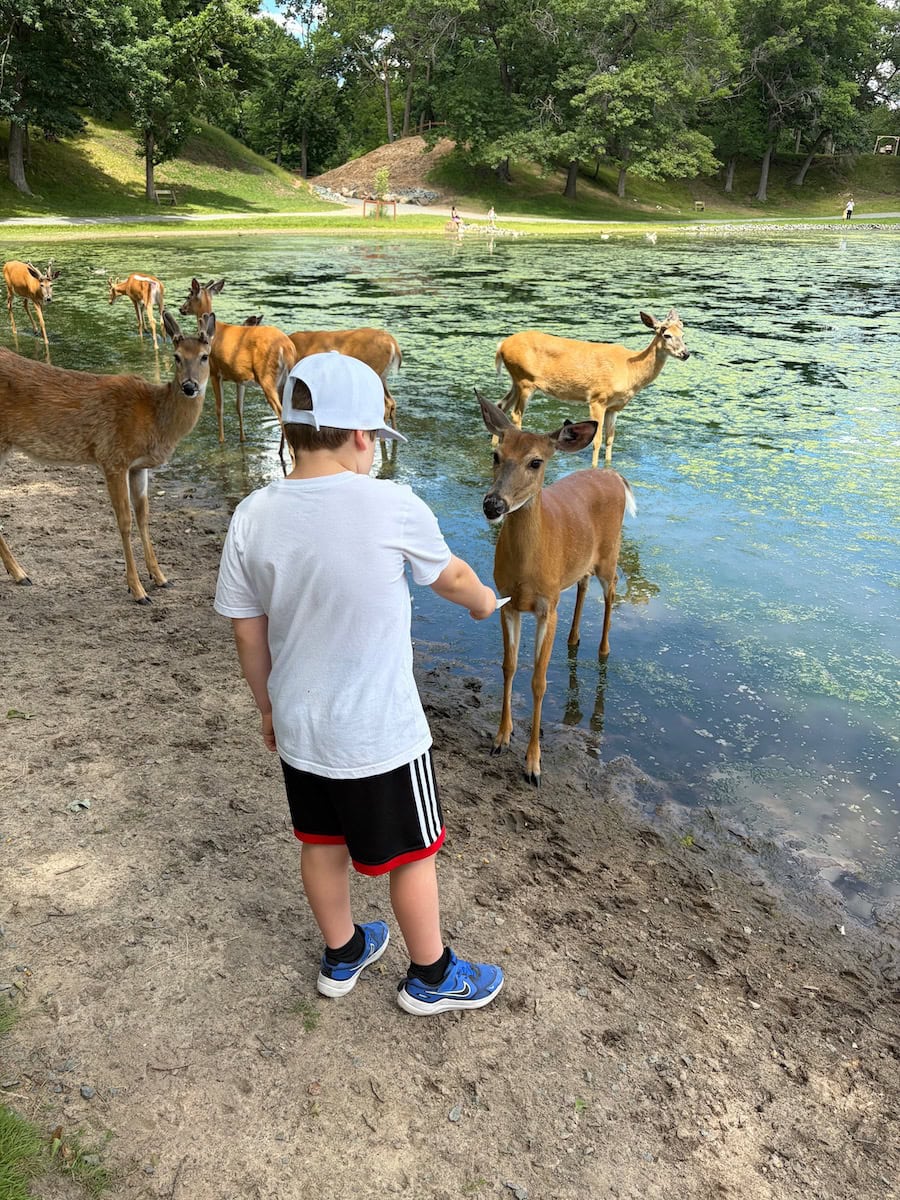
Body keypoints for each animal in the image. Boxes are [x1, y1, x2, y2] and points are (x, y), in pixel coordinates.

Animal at [0, 311, 214, 604]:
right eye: (177, 356)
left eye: (205, 356)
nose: (189, 386)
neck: (154, 417)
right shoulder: (112, 456)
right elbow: (124, 521)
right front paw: (137, 590)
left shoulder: (138, 466)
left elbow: (143, 515)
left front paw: (160, 578)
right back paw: (21, 573)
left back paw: (19, 574)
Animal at [179, 279, 295, 443]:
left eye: (189, 295)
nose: (181, 309)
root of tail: (287, 347)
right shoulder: (240, 378)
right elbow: (239, 408)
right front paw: (242, 438)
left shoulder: (214, 372)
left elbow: (219, 408)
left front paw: (221, 439)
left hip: (267, 377)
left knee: (281, 412)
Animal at [478, 390, 635, 786]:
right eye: (496, 455)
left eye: (536, 462)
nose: (493, 504)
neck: (526, 570)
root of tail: (614, 476)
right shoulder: (508, 601)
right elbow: (508, 666)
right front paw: (501, 738)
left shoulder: (547, 605)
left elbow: (539, 681)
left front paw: (533, 765)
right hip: (580, 564)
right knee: (582, 585)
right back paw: (574, 638)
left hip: (610, 553)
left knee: (611, 591)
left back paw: (603, 649)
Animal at [494, 310, 690, 467]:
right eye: (666, 335)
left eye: (683, 334)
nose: (686, 353)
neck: (630, 370)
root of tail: (501, 345)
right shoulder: (597, 399)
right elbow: (596, 440)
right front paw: (595, 467)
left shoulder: (614, 407)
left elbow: (610, 439)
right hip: (525, 380)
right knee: (516, 414)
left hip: (516, 380)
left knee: (500, 405)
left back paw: (495, 445)